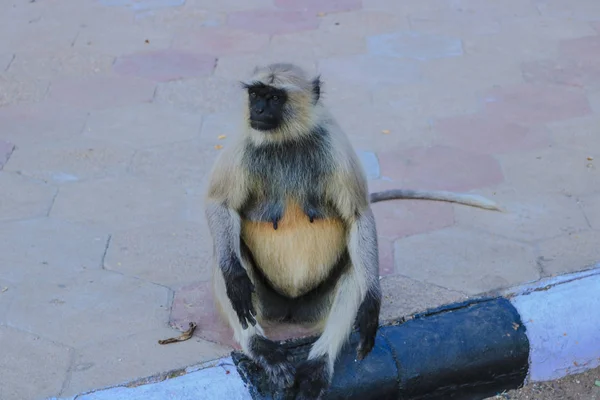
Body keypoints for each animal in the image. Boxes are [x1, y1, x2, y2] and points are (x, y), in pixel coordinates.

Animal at [204, 63, 500, 400]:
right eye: (255, 94)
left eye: (275, 97)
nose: (259, 110)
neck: (288, 140)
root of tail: (292, 310)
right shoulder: (245, 141)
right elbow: (220, 206)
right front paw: (235, 280)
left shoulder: (334, 145)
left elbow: (359, 217)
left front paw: (371, 305)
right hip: (267, 301)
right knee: (231, 262)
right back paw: (262, 348)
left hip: (315, 304)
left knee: (357, 269)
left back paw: (318, 365)